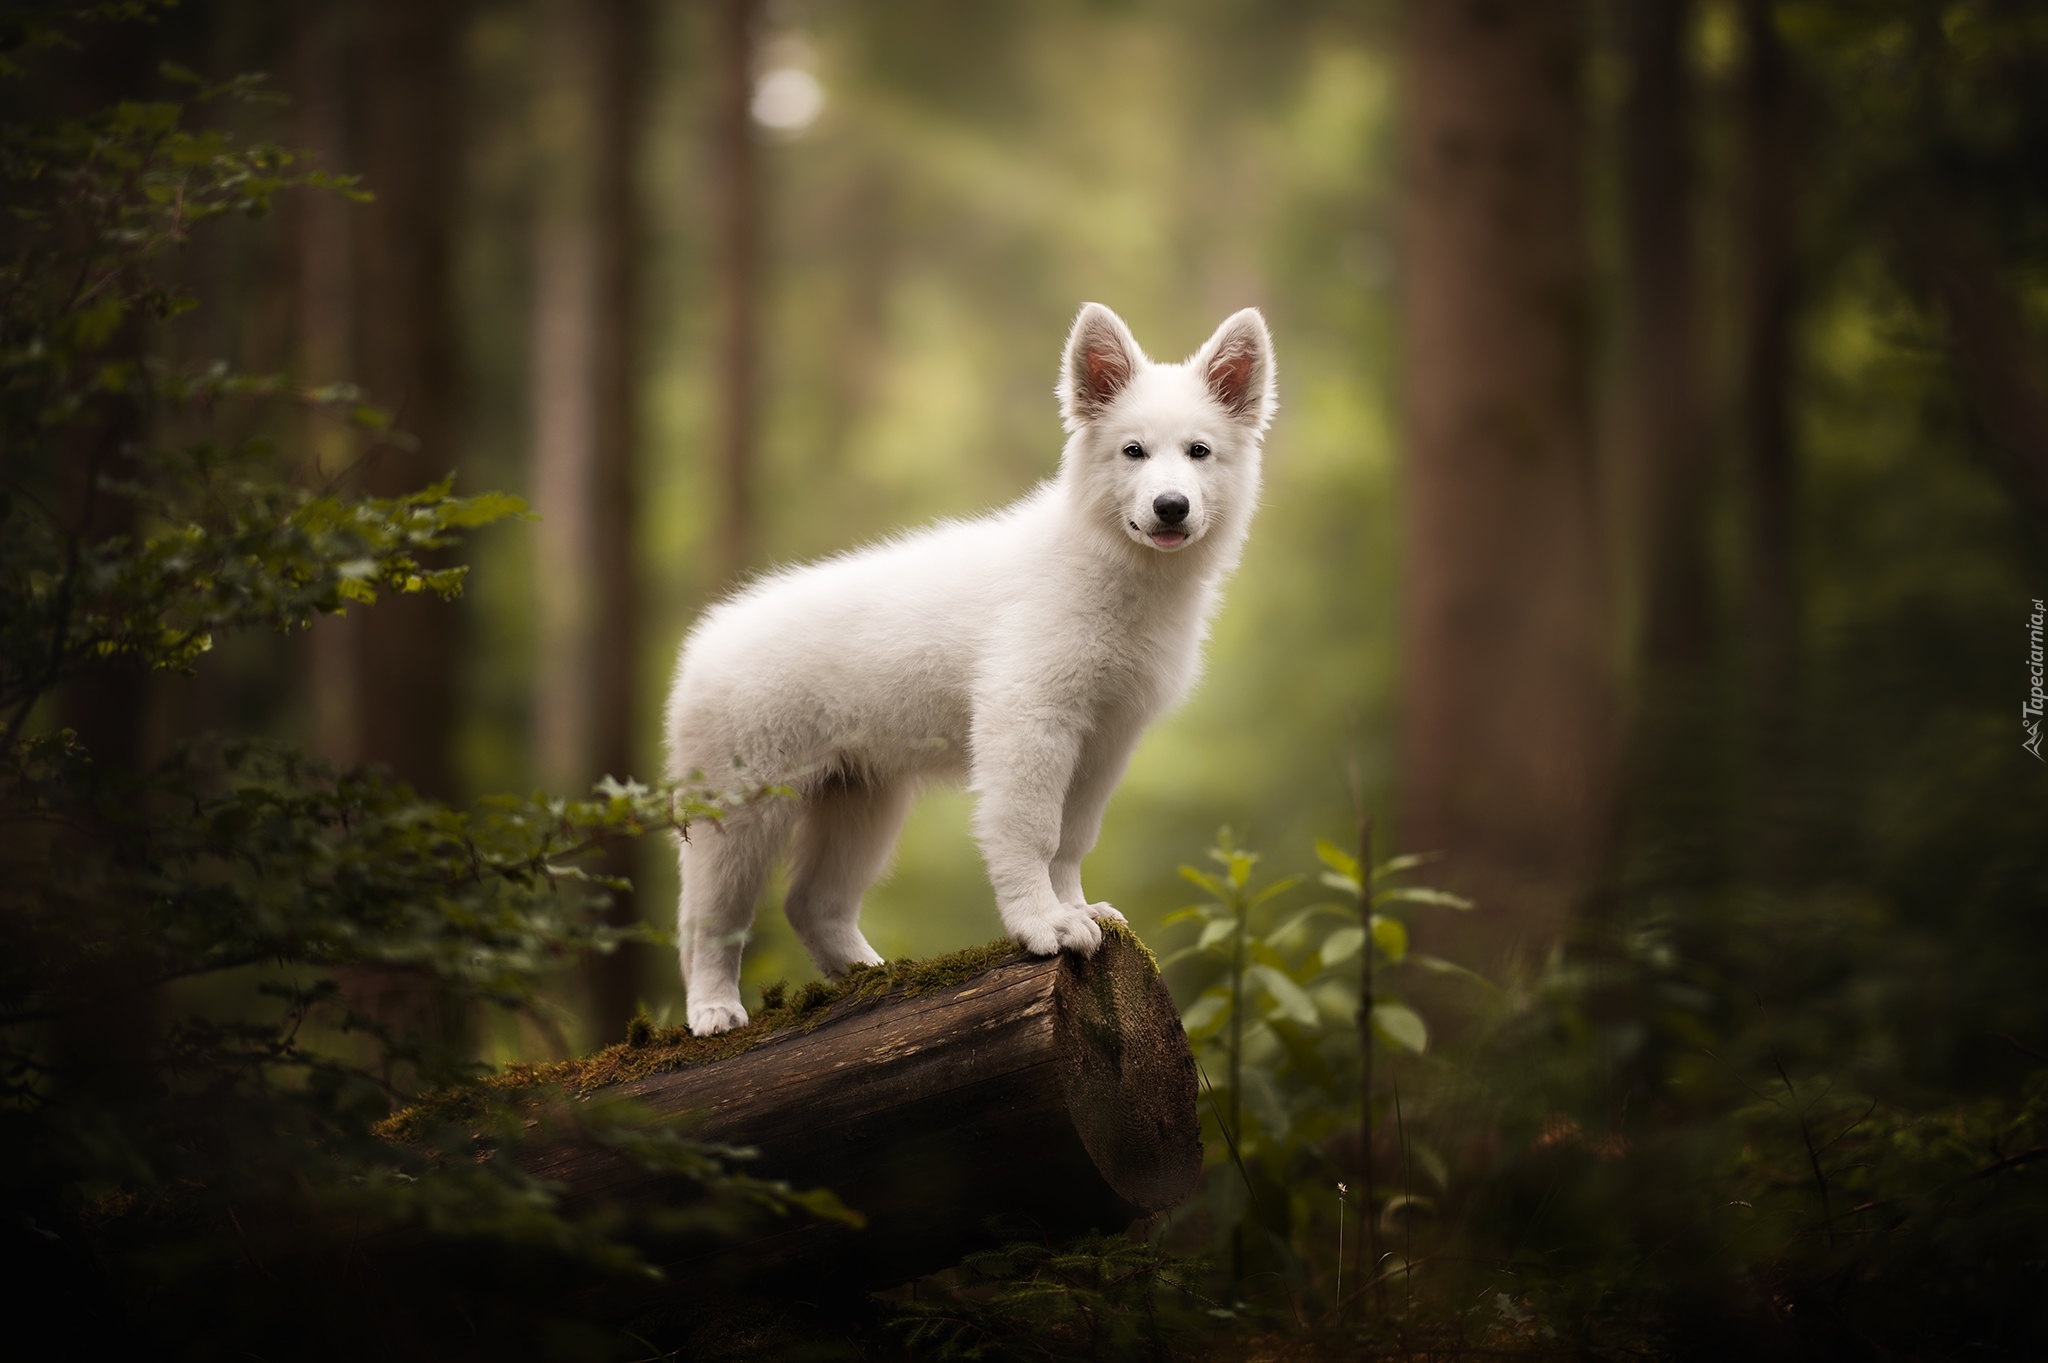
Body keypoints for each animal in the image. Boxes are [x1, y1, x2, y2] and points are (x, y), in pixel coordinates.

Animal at [667, 302, 1277, 1035]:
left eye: (1199, 452)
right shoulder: (1029, 719)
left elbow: (1072, 837)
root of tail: (703, 641)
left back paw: (871, 975)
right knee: (707, 918)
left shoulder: (1105, 737)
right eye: (1133, 451)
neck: (1113, 570)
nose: (1170, 506)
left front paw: (1075, 908)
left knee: (812, 902)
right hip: (741, 809)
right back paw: (713, 1008)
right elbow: (1033, 830)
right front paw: (1044, 923)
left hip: (862, 801)